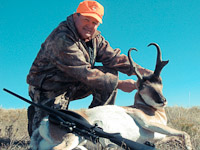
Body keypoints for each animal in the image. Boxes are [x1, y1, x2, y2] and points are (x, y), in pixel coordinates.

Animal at [30, 42, 192, 149]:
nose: (162, 100)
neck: (148, 109)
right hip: (74, 137)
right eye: (142, 86)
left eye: (160, 82)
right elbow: (184, 133)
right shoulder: (149, 122)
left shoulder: (160, 137)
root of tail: (44, 122)